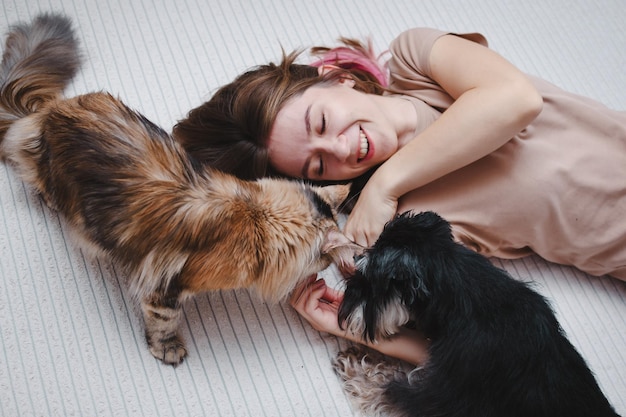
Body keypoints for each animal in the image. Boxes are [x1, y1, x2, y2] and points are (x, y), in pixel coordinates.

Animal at [0, 13, 356, 364]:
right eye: (322, 261)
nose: (326, 269)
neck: (254, 217)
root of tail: (47, 112)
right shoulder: (165, 286)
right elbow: (164, 321)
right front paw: (168, 349)